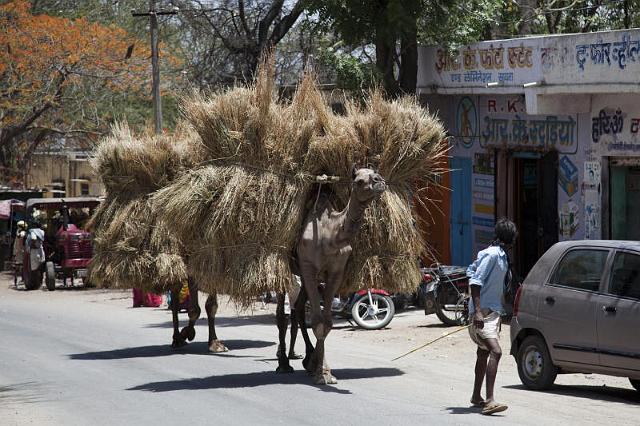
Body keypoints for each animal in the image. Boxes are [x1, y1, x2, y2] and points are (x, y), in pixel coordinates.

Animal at [274, 166, 384, 382]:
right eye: (359, 180)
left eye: (375, 172)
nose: (379, 181)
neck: (330, 233)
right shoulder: (308, 267)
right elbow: (318, 322)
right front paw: (321, 374)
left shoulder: (335, 272)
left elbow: (327, 322)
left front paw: (322, 370)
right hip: (286, 269)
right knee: (282, 315)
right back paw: (283, 363)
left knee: (299, 309)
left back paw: (308, 358)